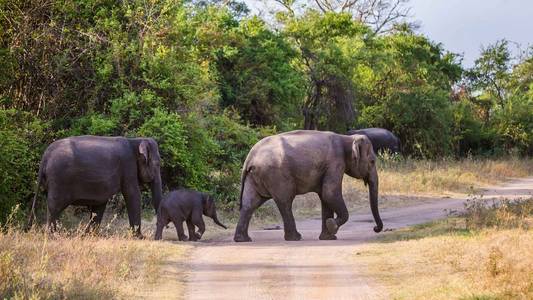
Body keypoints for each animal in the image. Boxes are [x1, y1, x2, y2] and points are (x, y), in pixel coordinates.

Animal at [28, 136, 162, 237]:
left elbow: (99, 205)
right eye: (158, 164)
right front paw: (139, 237)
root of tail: (45, 155)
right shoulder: (128, 165)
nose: (155, 238)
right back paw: (52, 235)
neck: (135, 140)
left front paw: (87, 235)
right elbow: (132, 194)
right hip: (59, 179)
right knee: (54, 207)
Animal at [234, 130, 382, 243]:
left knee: (250, 204)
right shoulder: (335, 163)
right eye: (372, 161)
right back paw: (295, 238)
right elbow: (330, 193)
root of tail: (250, 157)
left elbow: (325, 197)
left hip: (254, 177)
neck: (347, 138)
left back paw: (243, 239)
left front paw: (328, 237)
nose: (375, 229)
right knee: (285, 202)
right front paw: (332, 225)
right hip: (276, 175)